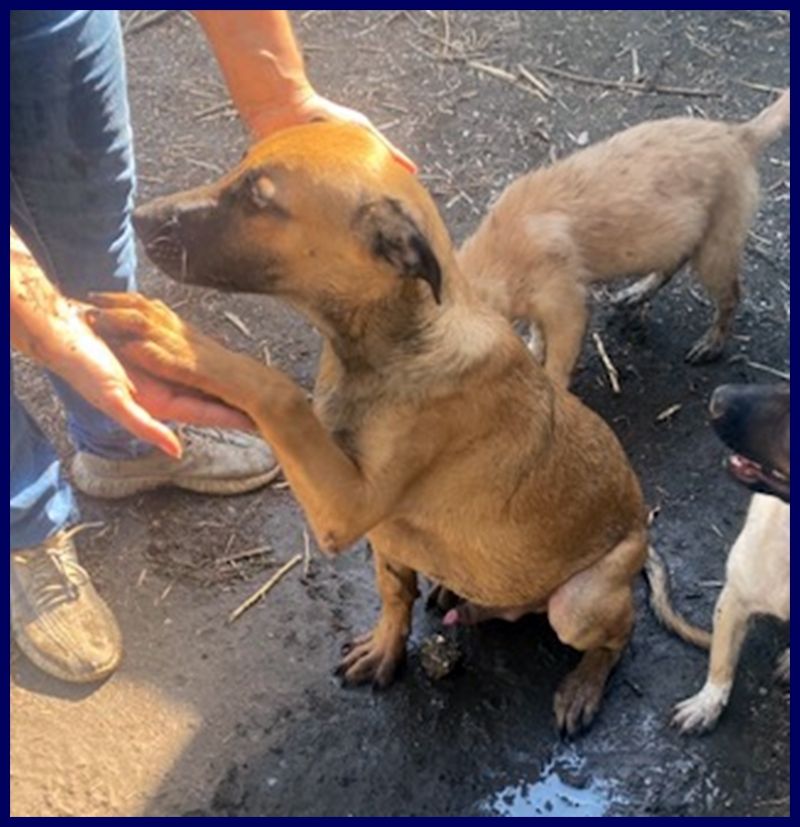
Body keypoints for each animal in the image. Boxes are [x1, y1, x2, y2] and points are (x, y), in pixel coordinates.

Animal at [90, 121, 648, 732]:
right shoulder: (380, 532)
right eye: (239, 164)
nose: (140, 216)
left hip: (580, 603)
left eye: (260, 199)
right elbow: (393, 593)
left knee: (617, 636)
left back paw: (583, 683)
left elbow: (276, 390)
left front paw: (170, 336)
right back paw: (464, 599)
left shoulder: (346, 506)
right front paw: (387, 646)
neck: (385, 346)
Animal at [460, 90, 792, 388]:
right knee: (674, 265)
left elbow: (557, 362)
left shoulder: (567, 306)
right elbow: (537, 334)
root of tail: (738, 135)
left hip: (717, 248)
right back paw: (636, 293)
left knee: (731, 296)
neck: (503, 251)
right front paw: (531, 351)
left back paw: (709, 345)